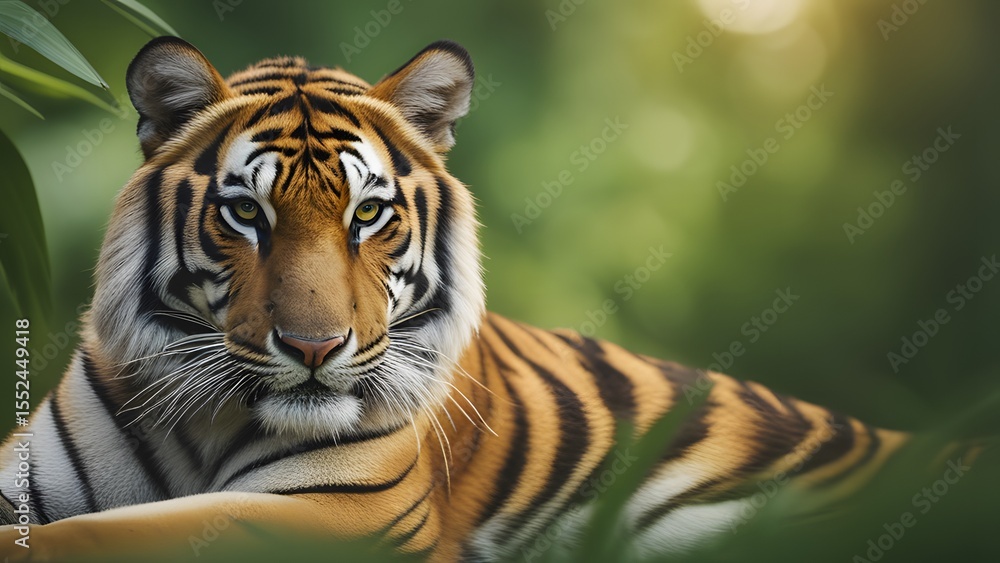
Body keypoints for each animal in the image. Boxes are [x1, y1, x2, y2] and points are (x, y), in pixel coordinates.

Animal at [0, 36, 970, 562]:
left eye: (367, 215)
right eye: (246, 212)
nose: (314, 349)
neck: (204, 422)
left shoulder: (339, 512)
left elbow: (104, 535)